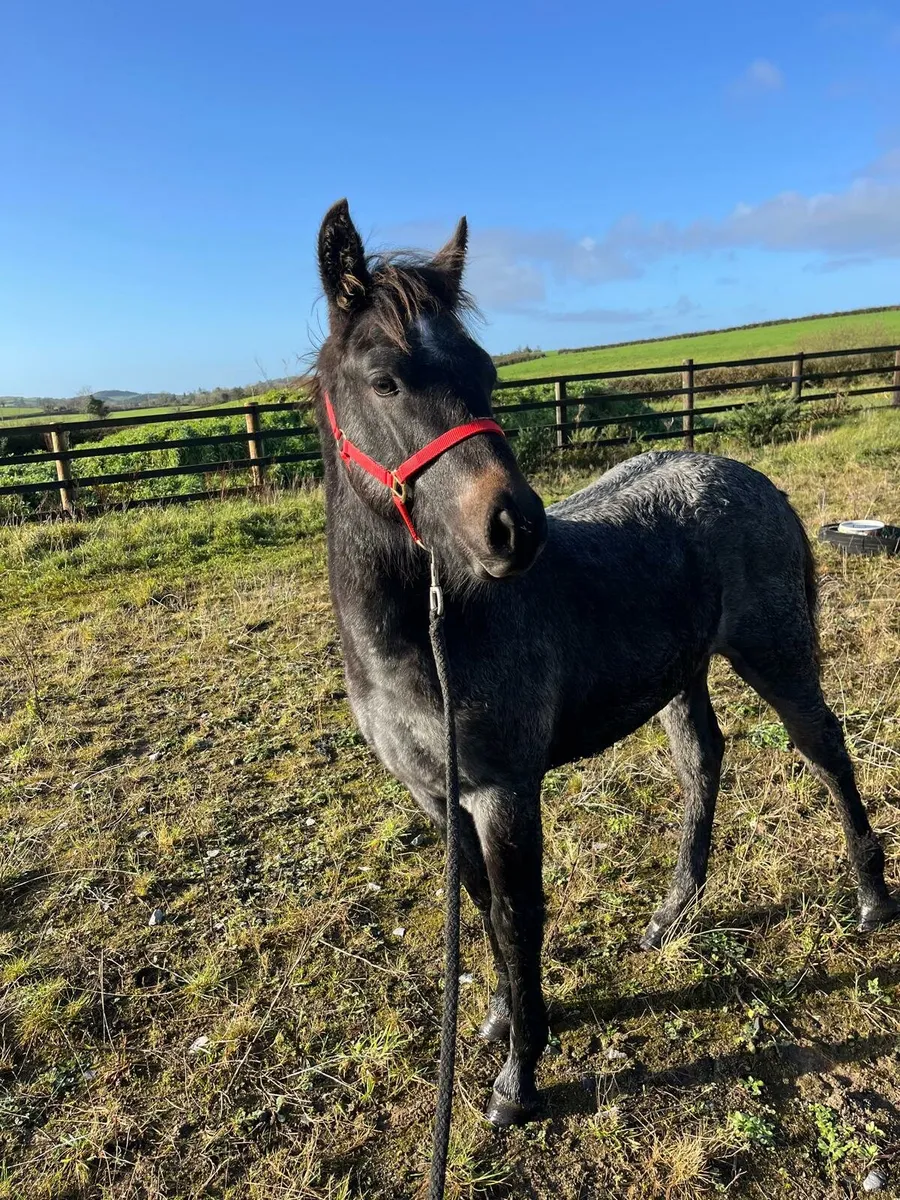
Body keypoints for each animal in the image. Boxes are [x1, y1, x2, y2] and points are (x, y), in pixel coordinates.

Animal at [311, 199, 899, 1127]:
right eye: (384, 379)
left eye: (487, 372)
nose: (515, 528)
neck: (427, 642)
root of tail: (751, 478)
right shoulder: (439, 798)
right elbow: (483, 907)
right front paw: (500, 1018)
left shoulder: (505, 791)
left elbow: (520, 916)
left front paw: (518, 1079)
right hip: (682, 674)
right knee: (704, 761)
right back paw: (671, 916)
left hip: (775, 655)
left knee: (825, 750)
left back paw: (873, 898)